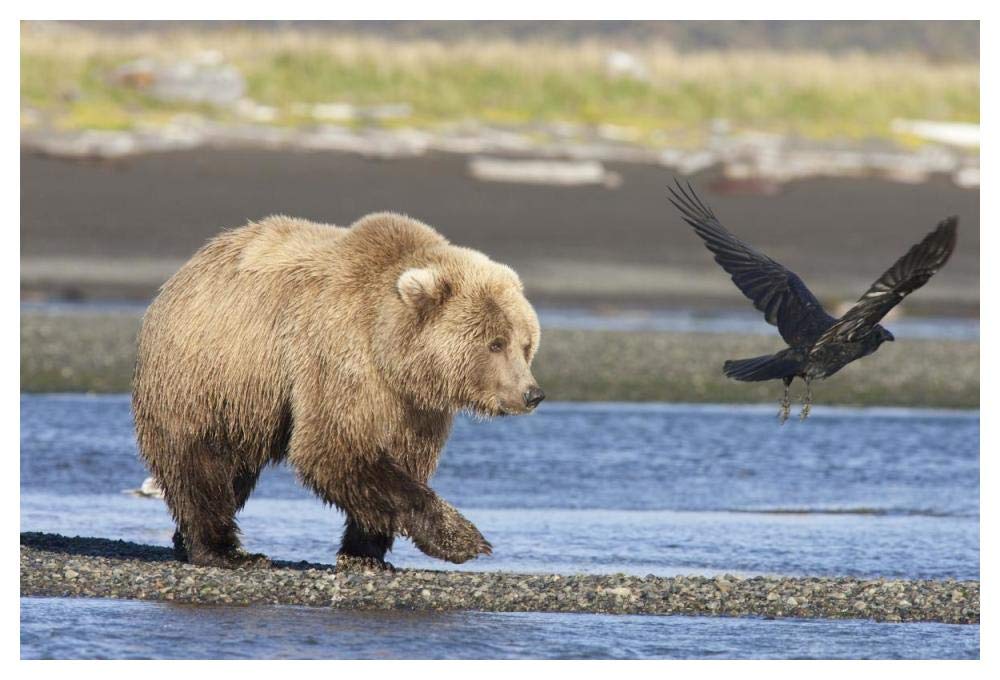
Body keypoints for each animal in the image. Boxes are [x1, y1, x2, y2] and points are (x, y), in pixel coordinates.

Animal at [132, 213, 544, 570]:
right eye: (495, 343)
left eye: (526, 344)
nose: (532, 394)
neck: (391, 352)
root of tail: (183, 273)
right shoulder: (337, 361)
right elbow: (332, 451)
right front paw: (463, 539)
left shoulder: (412, 408)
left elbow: (400, 459)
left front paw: (365, 552)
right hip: (210, 375)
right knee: (202, 462)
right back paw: (223, 550)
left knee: (234, 471)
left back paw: (186, 540)